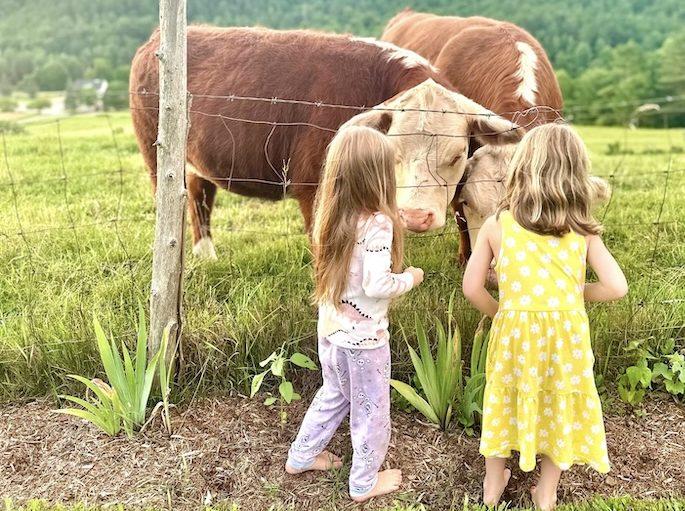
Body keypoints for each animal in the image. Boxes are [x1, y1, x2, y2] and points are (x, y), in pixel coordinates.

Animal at [130, 26, 522, 259]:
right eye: (393, 153)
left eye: (457, 155)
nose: (416, 216)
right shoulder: (314, 189)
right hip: (156, 155)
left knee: (200, 195)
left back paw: (206, 256)